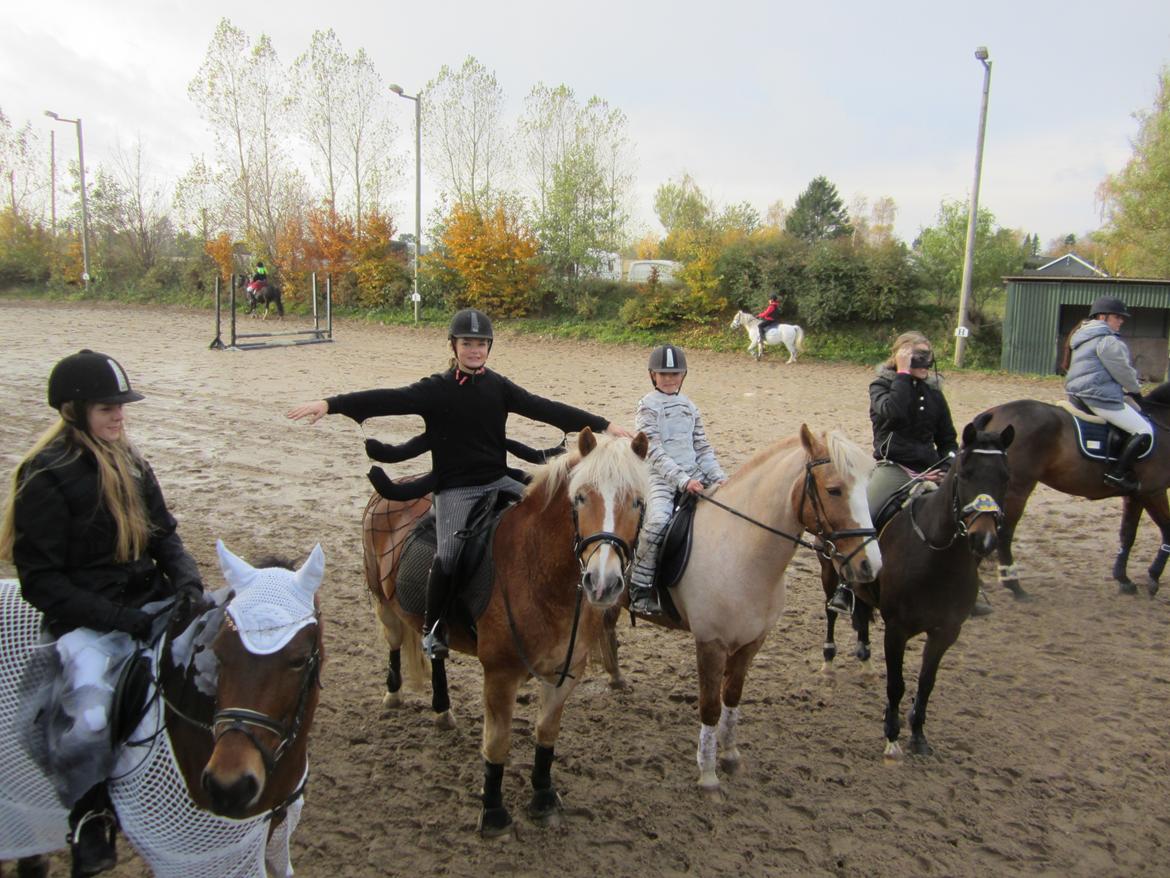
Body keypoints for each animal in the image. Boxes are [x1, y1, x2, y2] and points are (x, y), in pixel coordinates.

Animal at [360, 430, 655, 842]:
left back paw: (442, 709)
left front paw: (543, 797)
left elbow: (546, 733)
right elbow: (497, 744)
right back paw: (393, 693)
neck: (538, 572)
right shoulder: (499, 675)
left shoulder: (565, 673)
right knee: (393, 642)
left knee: (436, 653)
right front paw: (494, 812)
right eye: (580, 498)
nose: (603, 582)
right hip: (382, 600)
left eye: (637, 502)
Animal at [603, 426, 879, 796]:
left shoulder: (751, 643)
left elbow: (732, 697)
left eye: (866, 485)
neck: (740, 549)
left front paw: (731, 756)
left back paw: (616, 678)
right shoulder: (711, 644)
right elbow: (709, 706)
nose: (870, 565)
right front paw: (707, 774)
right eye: (834, 490)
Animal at [814, 416, 1015, 758]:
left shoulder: (946, 632)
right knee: (832, 610)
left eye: (1005, 477)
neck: (937, 558)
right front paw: (892, 736)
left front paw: (918, 734)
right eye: (966, 474)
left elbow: (925, 682)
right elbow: (897, 684)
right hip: (828, 570)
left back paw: (865, 660)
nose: (984, 538)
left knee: (861, 612)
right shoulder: (897, 629)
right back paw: (829, 660)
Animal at [973, 383, 1170, 599]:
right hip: (1017, 489)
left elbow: (1128, 534)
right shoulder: (1153, 492)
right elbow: (1168, 531)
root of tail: (994, 413)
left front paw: (1124, 580)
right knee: (1004, 533)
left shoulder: (1135, 496)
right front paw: (1153, 578)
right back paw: (1013, 585)